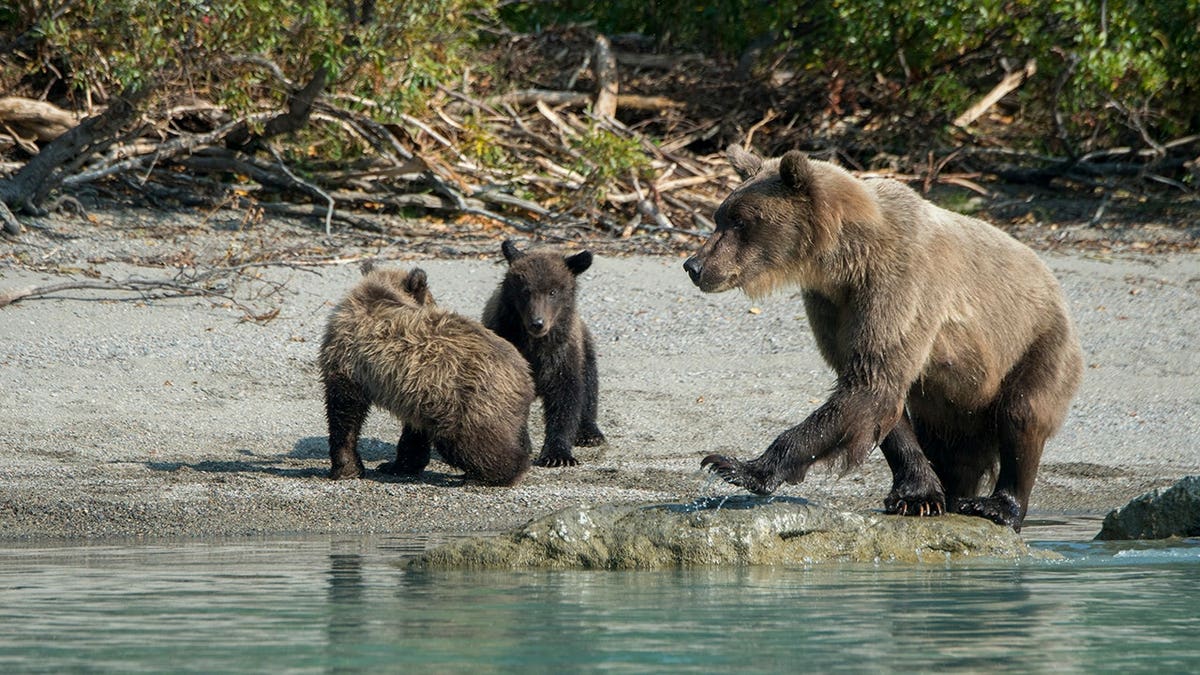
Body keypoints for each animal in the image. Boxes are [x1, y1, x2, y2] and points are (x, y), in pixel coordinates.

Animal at [319, 263, 534, 486]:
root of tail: (524, 373)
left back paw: (490, 475)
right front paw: (399, 465)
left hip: (470, 403)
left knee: (471, 443)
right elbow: (414, 431)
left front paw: (345, 467)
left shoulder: (350, 362)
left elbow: (344, 412)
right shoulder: (419, 389)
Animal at [482, 240, 606, 467]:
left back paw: (590, 433)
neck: (534, 344)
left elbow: (566, 398)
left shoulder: (561, 354)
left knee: (590, 384)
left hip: (585, 346)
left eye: (553, 292)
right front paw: (521, 444)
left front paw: (558, 454)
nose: (537, 323)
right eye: (525, 291)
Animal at [683, 146, 1083, 531]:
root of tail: (1053, 281)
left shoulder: (900, 285)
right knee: (952, 444)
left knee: (1022, 414)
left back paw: (998, 505)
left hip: (1035, 343)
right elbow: (876, 396)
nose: (693, 265)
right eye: (719, 216)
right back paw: (956, 492)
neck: (847, 260)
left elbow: (870, 383)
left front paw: (735, 467)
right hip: (954, 398)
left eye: (739, 220)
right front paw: (918, 495)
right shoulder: (834, 306)